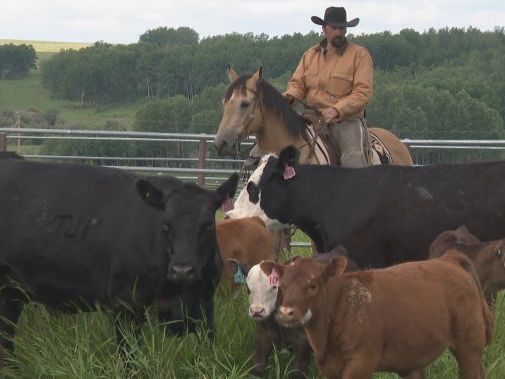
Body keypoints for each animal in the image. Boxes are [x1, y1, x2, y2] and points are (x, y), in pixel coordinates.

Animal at [0, 157, 238, 360]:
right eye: (165, 225)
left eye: (207, 224)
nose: (183, 270)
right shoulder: (126, 305)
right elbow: (129, 357)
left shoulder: (205, 305)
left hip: (11, 293)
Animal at [264, 252, 492, 379]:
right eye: (282, 286)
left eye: (312, 285)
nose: (286, 312)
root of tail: (449, 259)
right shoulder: (329, 368)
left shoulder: (361, 363)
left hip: (469, 345)